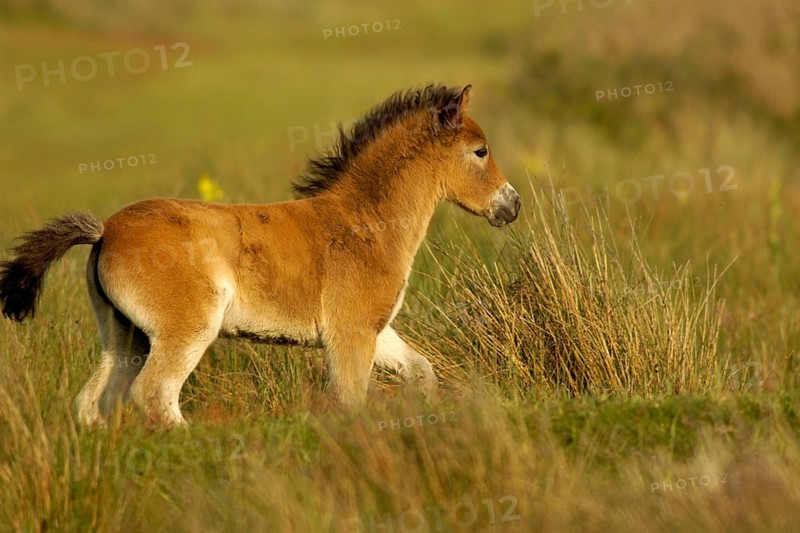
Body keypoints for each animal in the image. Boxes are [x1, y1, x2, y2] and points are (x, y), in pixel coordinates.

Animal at [0, 84, 521, 426]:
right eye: (480, 151)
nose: (512, 205)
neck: (365, 222)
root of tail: (105, 231)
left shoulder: (374, 329)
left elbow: (421, 371)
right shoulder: (350, 333)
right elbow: (351, 398)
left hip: (124, 336)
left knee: (93, 402)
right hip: (184, 329)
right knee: (154, 396)